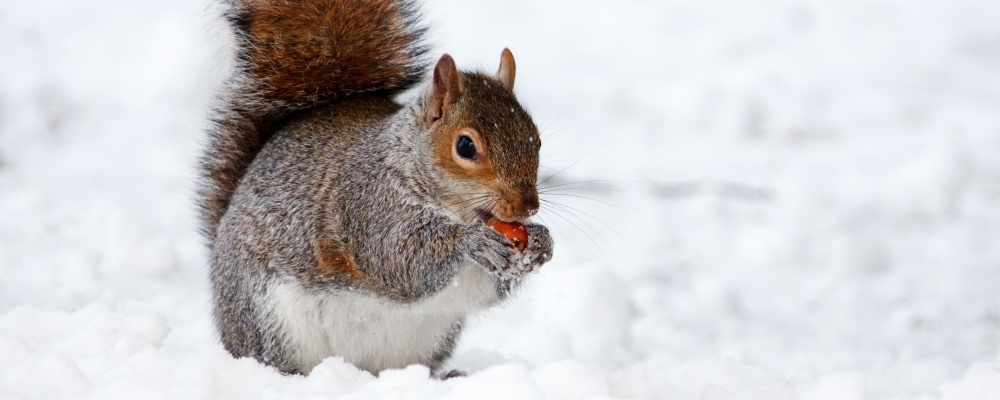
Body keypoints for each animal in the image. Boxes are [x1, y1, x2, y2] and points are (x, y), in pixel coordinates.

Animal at [195, 0, 556, 376]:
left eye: (536, 138)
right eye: (466, 146)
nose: (527, 207)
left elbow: (486, 289)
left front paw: (541, 243)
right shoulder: (368, 205)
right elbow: (398, 259)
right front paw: (473, 241)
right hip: (267, 319)